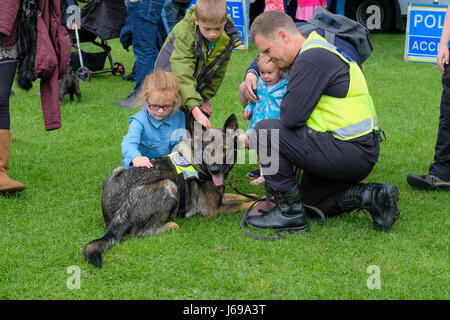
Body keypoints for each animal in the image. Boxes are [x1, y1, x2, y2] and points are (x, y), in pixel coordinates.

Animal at [84, 115, 253, 268]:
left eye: (225, 150)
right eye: (207, 151)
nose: (215, 170)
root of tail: (119, 215)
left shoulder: (220, 198)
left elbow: (237, 196)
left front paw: (253, 196)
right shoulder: (212, 209)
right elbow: (241, 205)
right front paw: (253, 205)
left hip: (118, 170)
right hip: (169, 185)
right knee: (140, 232)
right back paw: (171, 225)